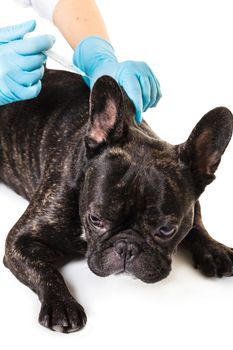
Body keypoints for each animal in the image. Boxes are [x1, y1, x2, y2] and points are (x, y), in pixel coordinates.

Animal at [0, 69, 233, 334]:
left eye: (166, 230)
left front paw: (214, 249)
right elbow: (44, 270)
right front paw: (62, 304)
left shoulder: (194, 203)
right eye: (95, 219)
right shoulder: (19, 241)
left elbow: (197, 224)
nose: (126, 247)